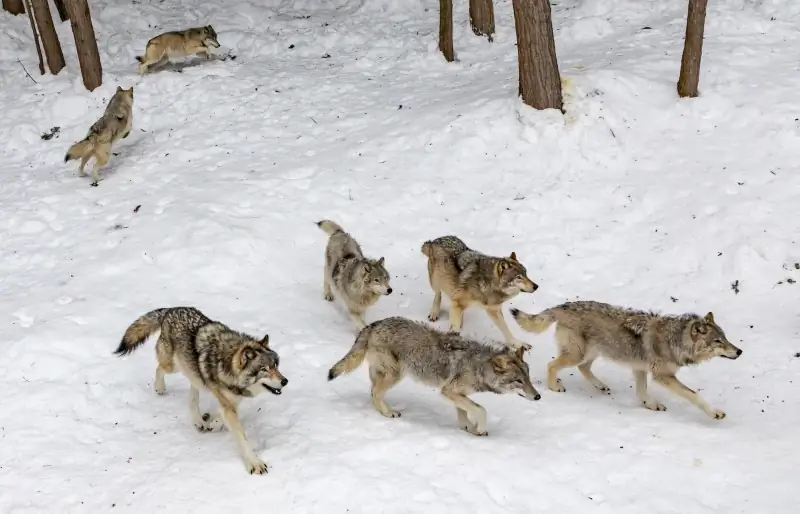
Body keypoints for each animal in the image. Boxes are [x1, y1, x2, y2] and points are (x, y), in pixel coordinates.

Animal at [112, 306, 288, 474]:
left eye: (276, 366)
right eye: (264, 370)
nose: (285, 381)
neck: (227, 364)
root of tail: (170, 309)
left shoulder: (231, 401)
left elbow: (220, 416)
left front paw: (213, 423)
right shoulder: (228, 404)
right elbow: (242, 437)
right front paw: (254, 464)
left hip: (191, 372)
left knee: (192, 396)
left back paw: (199, 420)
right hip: (173, 366)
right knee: (159, 369)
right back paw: (160, 388)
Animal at [328, 316, 540, 432]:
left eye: (528, 378)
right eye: (518, 381)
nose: (538, 396)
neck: (478, 366)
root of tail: (374, 324)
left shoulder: (455, 393)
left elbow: (465, 411)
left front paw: (469, 428)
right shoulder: (448, 391)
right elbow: (481, 410)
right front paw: (480, 429)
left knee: (372, 392)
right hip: (396, 375)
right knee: (375, 393)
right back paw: (389, 413)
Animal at [512, 302, 744, 418]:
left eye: (725, 338)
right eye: (718, 341)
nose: (740, 351)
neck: (676, 341)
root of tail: (562, 306)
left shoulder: (640, 369)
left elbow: (642, 392)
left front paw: (650, 405)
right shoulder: (663, 376)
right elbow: (694, 395)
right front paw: (714, 413)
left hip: (592, 353)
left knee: (583, 369)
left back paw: (601, 386)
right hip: (578, 354)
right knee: (552, 365)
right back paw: (555, 387)